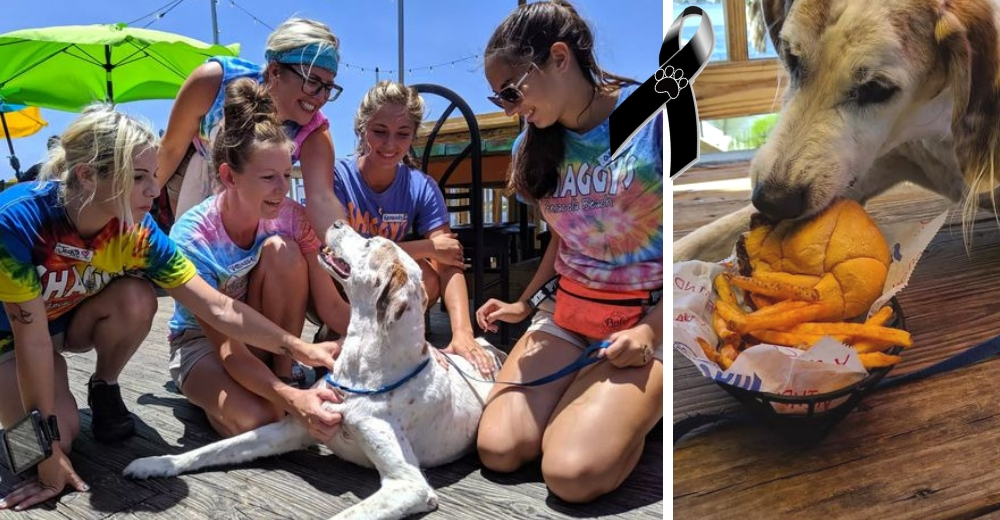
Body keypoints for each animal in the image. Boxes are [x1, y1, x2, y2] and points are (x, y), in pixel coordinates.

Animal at [123, 222, 498, 520]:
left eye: (370, 243)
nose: (336, 222)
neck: (362, 373)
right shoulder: (296, 426)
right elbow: (215, 449)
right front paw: (157, 463)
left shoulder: (409, 484)